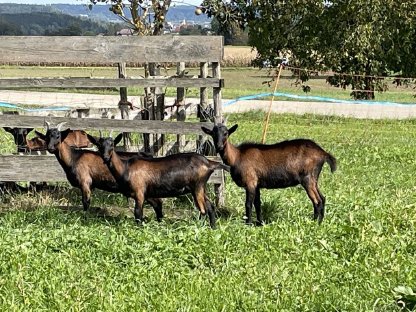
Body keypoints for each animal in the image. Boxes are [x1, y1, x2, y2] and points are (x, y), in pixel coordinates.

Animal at [88, 133, 231, 228]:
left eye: (112, 145)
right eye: (99, 145)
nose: (106, 157)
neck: (125, 168)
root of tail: (209, 163)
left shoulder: (139, 192)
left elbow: (138, 213)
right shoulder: (149, 194)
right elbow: (158, 209)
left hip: (197, 186)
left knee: (203, 209)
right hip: (200, 188)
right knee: (210, 206)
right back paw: (213, 227)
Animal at [202, 123, 338, 225]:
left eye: (226, 133)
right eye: (213, 134)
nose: (219, 146)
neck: (237, 157)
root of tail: (323, 153)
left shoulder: (250, 182)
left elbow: (248, 204)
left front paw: (248, 224)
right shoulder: (257, 184)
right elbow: (258, 204)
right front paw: (260, 223)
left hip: (307, 178)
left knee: (317, 200)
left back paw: (315, 223)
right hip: (314, 178)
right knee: (322, 198)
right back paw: (320, 221)